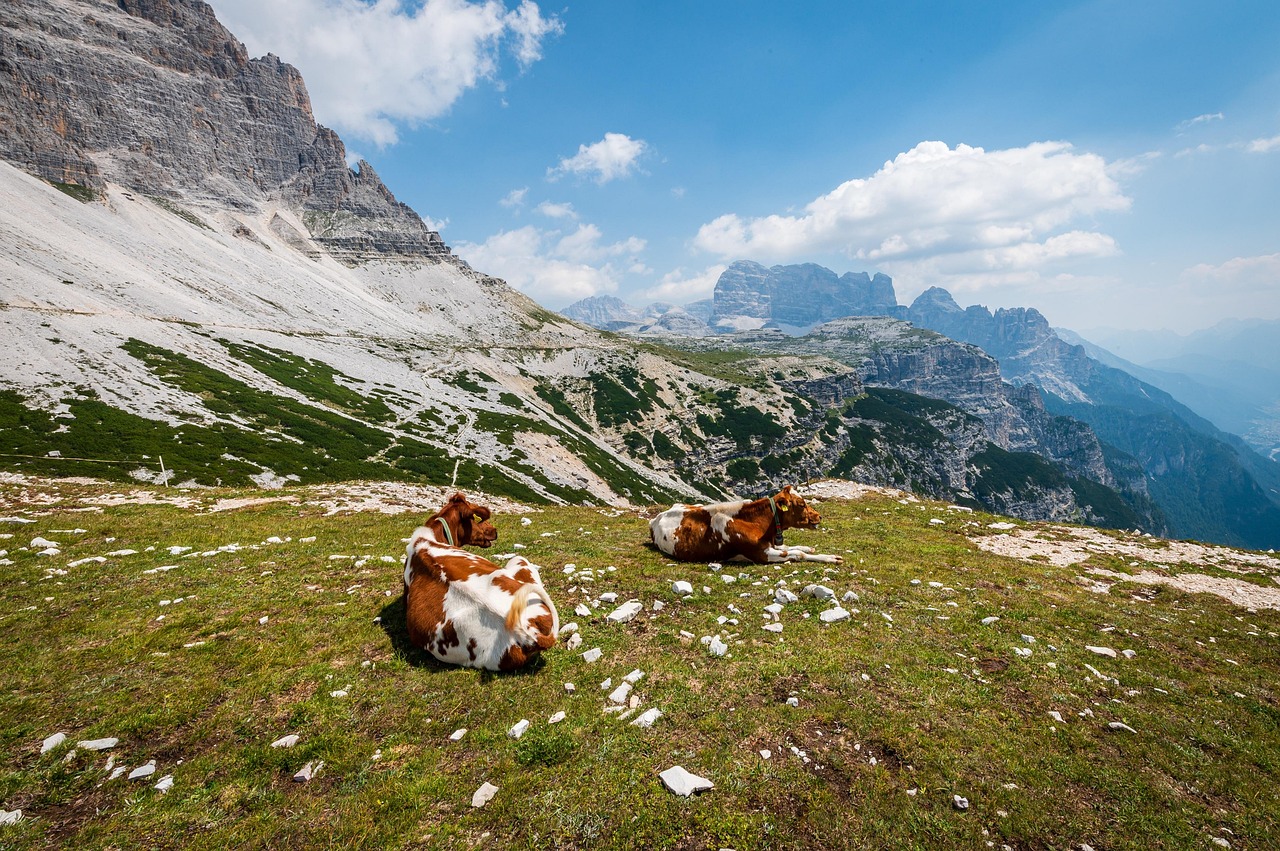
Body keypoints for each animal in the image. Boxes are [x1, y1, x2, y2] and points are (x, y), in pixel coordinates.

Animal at [649, 485, 843, 564]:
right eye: (801, 504)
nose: (819, 516)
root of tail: (656, 517)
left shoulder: (770, 545)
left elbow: (792, 548)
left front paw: (810, 548)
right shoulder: (762, 554)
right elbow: (797, 554)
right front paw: (830, 558)